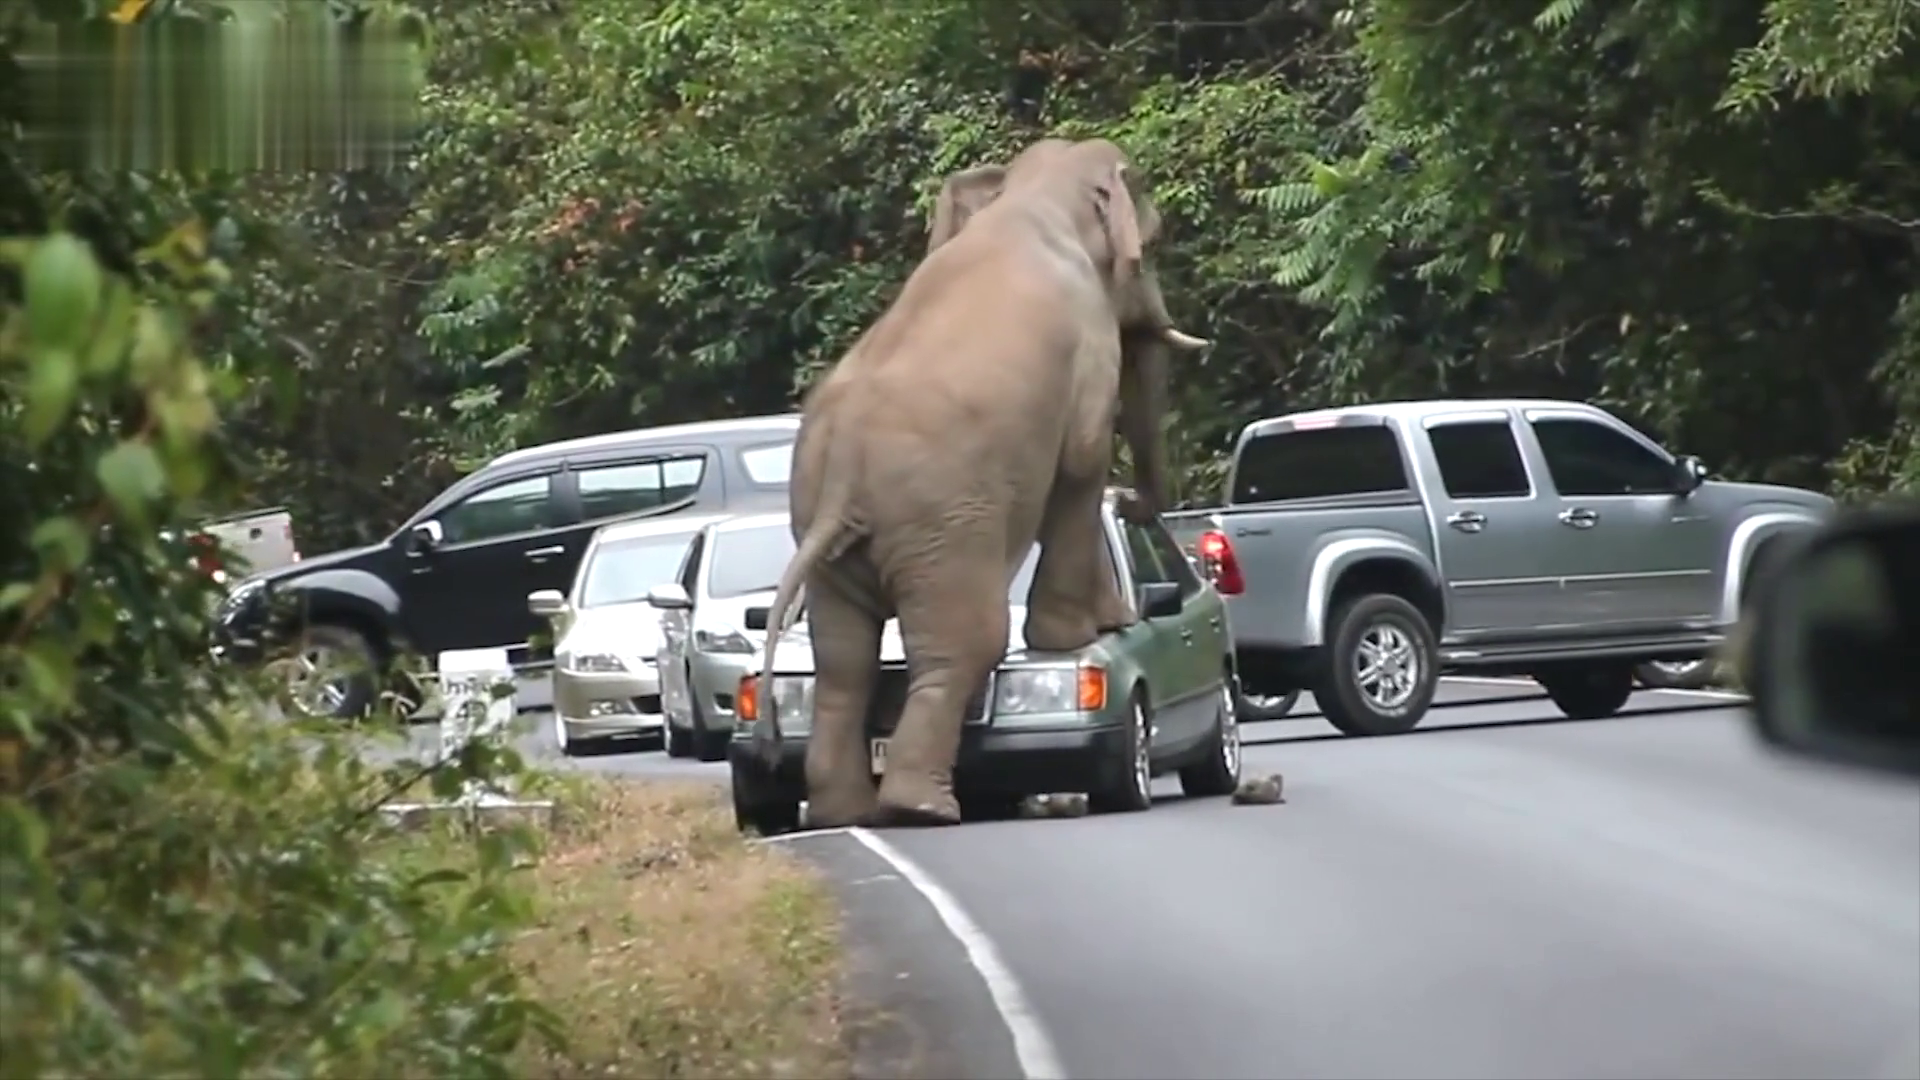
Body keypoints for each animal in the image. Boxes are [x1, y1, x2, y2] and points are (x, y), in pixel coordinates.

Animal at [748, 134, 1198, 822]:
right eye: (1150, 246)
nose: (1138, 508)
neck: (1033, 194)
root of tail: (844, 474)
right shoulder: (1089, 352)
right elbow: (1082, 466)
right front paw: (1080, 633)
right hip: (944, 529)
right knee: (963, 643)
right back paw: (922, 808)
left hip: (824, 535)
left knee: (844, 661)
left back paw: (842, 814)